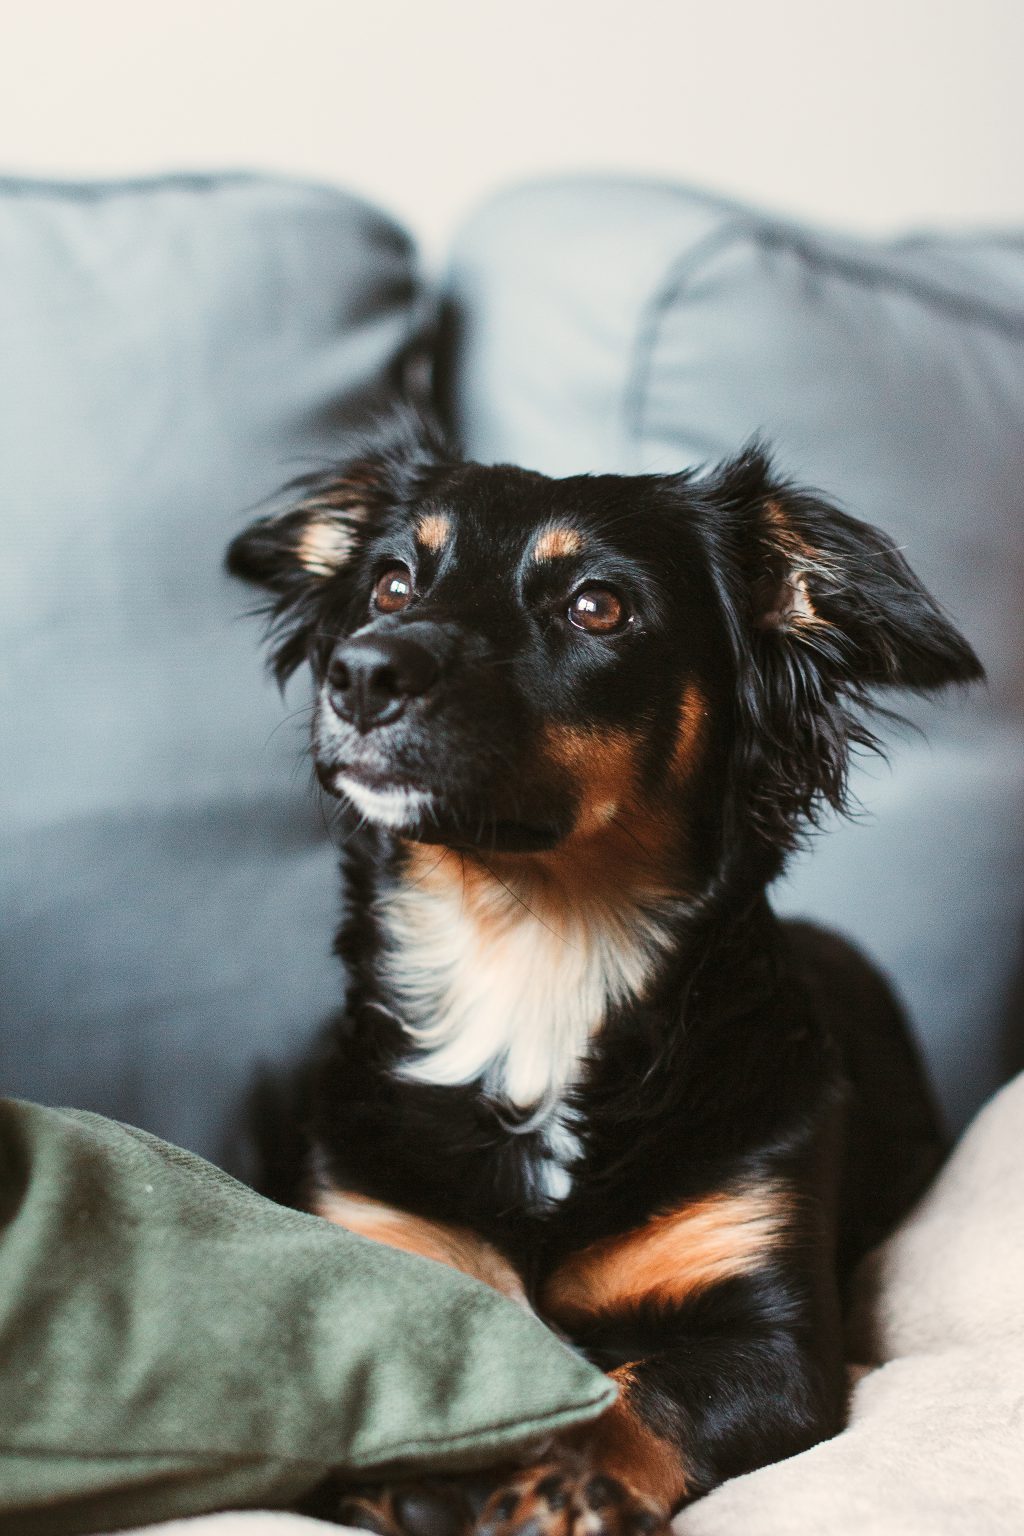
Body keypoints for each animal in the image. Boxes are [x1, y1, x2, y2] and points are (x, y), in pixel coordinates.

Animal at [225, 414, 982, 1529]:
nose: (361, 675)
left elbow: (643, 1391)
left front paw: (564, 1480)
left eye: (597, 605)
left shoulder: (776, 1341)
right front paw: (419, 1468)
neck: (533, 956)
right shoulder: (377, 1246)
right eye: (392, 586)